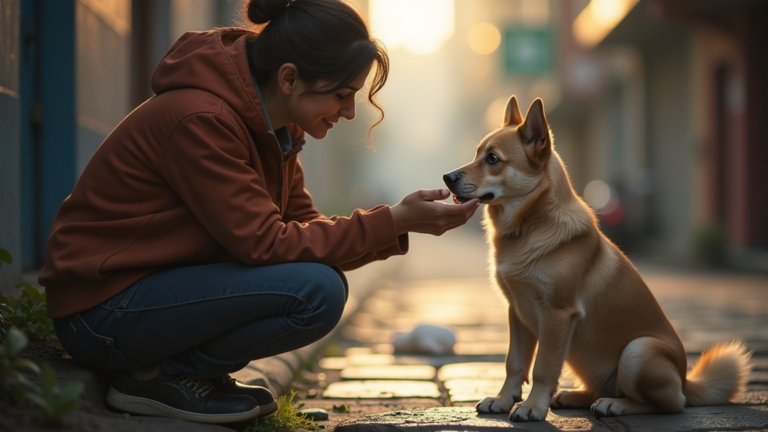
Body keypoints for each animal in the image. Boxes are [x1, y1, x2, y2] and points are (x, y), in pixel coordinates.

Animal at [444, 95, 752, 422]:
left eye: (493, 159)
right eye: (477, 154)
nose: (447, 177)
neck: (530, 225)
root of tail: (685, 380)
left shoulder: (557, 314)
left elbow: (542, 368)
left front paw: (532, 407)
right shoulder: (517, 311)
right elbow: (514, 363)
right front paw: (503, 400)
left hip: (637, 352)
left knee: (668, 403)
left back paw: (616, 404)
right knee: (603, 389)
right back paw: (573, 396)